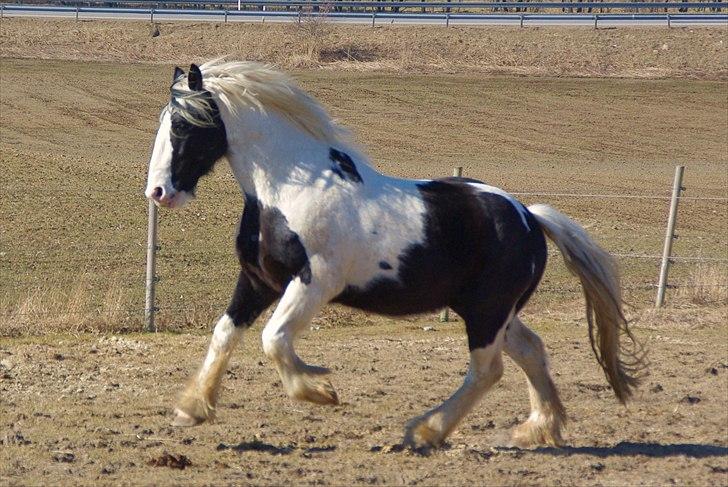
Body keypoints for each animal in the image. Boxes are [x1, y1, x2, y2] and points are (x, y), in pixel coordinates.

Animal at [142, 61, 644, 450]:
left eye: (183, 126)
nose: (159, 192)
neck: (287, 190)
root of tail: (529, 216)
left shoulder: (315, 282)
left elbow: (275, 339)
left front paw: (320, 390)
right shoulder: (257, 280)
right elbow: (225, 334)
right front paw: (192, 408)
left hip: (487, 312)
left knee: (487, 370)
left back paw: (425, 432)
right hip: (491, 310)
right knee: (532, 353)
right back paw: (537, 430)